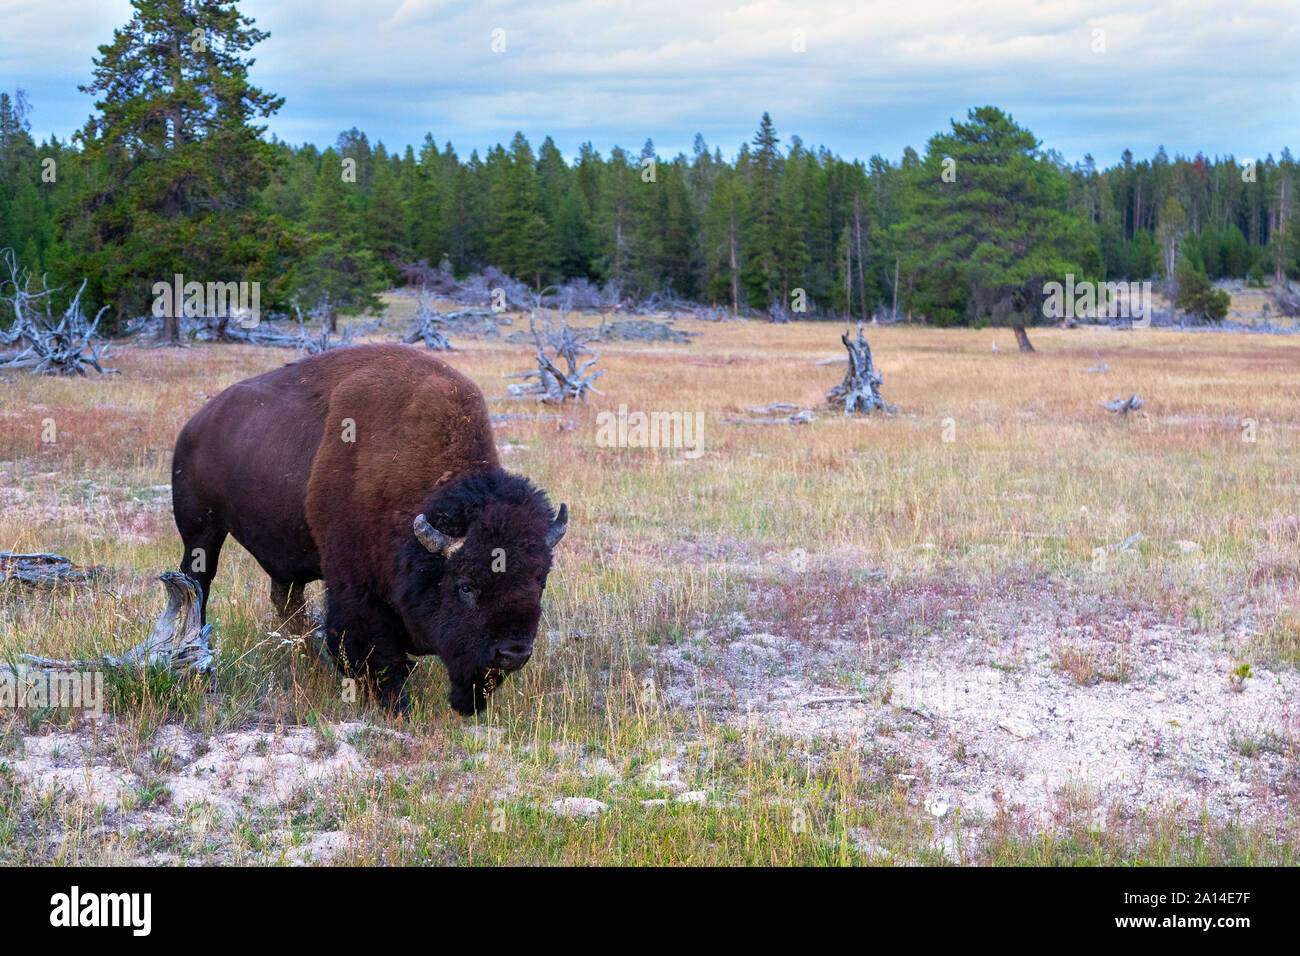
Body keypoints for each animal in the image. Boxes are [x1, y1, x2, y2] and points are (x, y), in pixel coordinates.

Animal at [167, 343, 564, 712]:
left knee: (286, 601)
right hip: (201, 528)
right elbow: (374, 652)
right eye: (465, 586)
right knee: (198, 581)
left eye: (539, 582)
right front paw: (396, 706)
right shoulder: (354, 586)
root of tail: (195, 424)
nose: (513, 653)